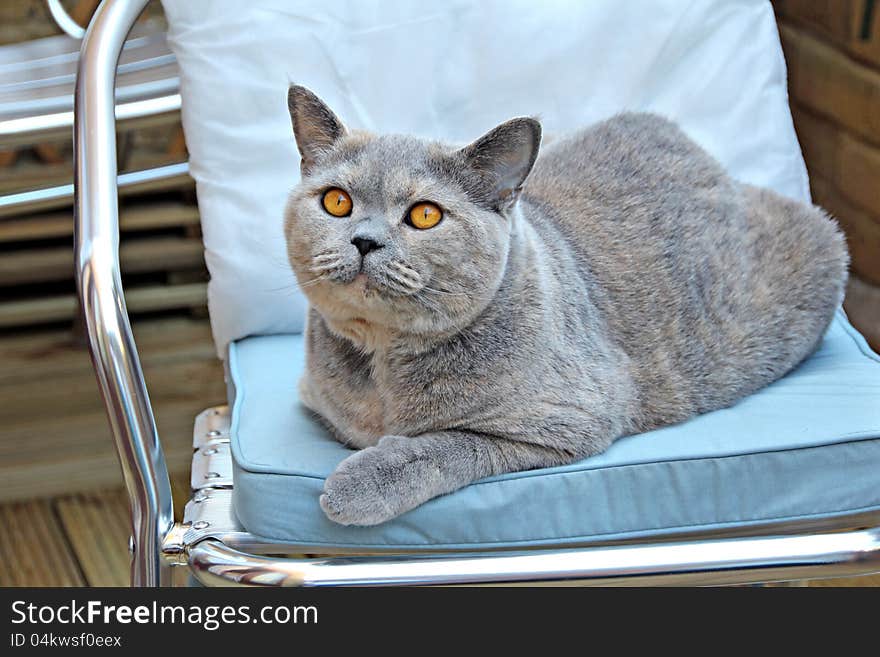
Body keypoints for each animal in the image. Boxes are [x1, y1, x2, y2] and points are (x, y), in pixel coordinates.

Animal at [282, 84, 844, 524]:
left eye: (424, 215)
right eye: (337, 202)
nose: (365, 240)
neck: (383, 365)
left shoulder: (567, 422)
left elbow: (449, 443)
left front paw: (359, 484)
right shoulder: (316, 398)